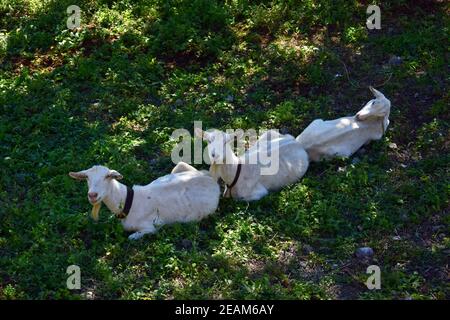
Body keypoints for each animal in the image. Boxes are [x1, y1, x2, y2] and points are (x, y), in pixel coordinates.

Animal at [68, 161, 220, 239]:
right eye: (87, 177)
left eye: (107, 176)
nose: (92, 195)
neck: (128, 201)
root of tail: (211, 180)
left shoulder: (151, 227)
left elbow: (132, 237)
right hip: (181, 166)